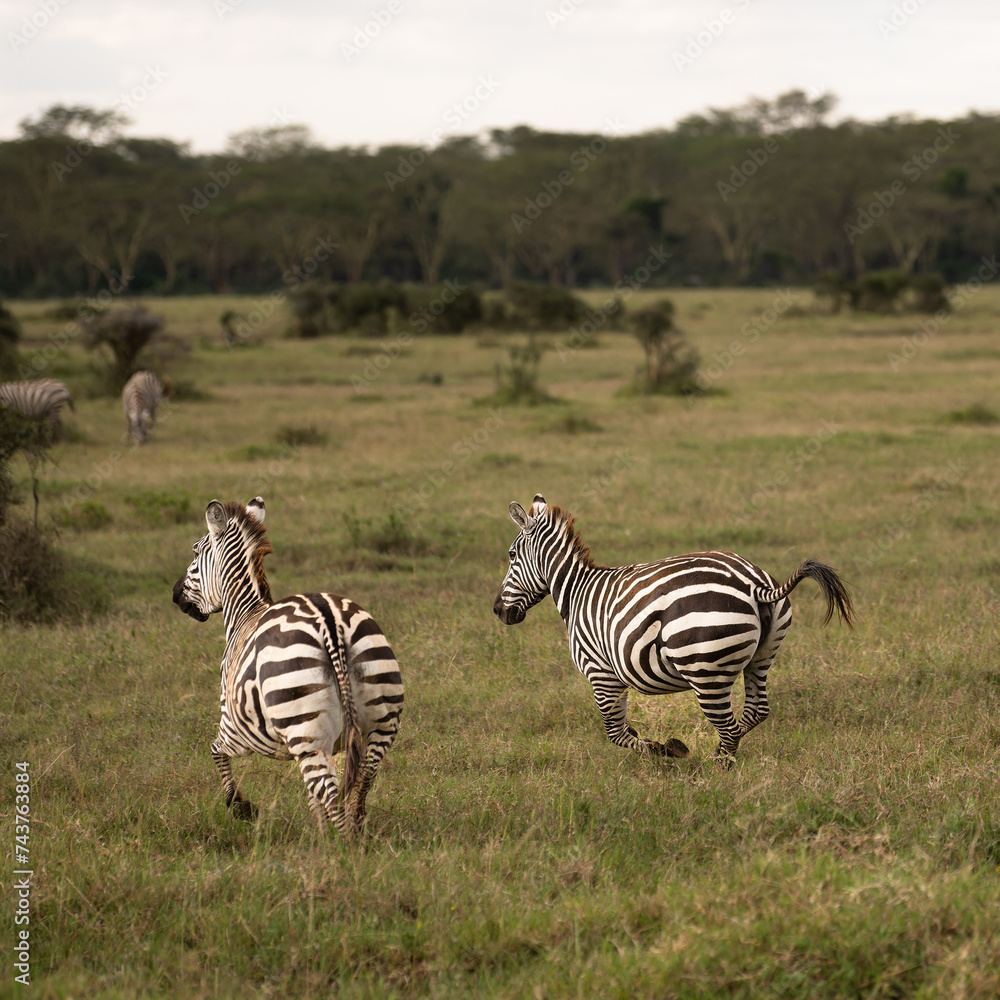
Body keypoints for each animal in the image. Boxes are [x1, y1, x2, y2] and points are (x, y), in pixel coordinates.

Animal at [172, 496, 404, 835]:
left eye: (194, 551)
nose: (175, 594)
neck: (245, 613)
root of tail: (328, 619)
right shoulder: (332, 746)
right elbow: (314, 795)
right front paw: (317, 827)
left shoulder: (236, 728)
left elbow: (214, 751)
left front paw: (241, 807)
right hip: (379, 721)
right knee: (360, 782)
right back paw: (351, 830)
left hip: (304, 728)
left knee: (332, 795)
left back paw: (340, 847)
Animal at [493, 494, 854, 763]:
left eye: (511, 555)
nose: (498, 611)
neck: (576, 590)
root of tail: (754, 584)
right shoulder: (615, 677)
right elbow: (624, 731)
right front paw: (657, 746)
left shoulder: (601, 674)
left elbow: (615, 733)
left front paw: (664, 749)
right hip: (763, 655)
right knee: (755, 711)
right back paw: (717, 754)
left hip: (707, 671)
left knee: (728, 727)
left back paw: (718, 767)